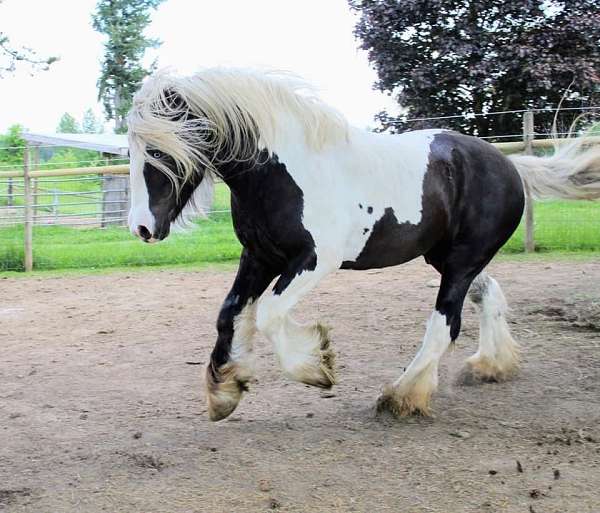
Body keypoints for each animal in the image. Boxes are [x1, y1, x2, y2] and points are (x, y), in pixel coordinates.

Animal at [127, 67, 600, 420]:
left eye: (160, 151)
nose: (142, 229)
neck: (282, 172)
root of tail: (512, 166)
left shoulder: (316, 260)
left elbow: (270, 314)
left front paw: (317, 366)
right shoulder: (259, 256)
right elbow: (230, 313)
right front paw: (225, 390)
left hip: (461, 262)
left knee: (444, 324)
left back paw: (402, 395)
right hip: (445, 258)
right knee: (489, 293)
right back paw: (490, 366)